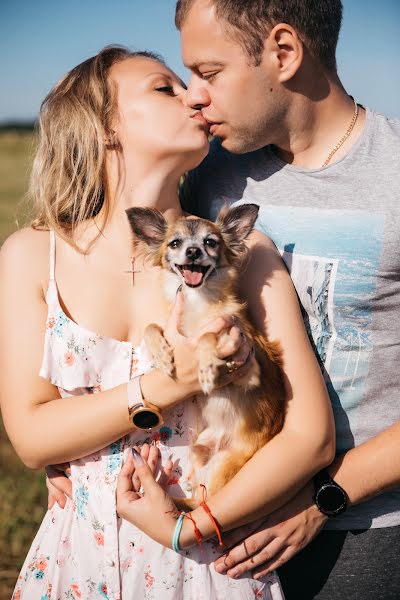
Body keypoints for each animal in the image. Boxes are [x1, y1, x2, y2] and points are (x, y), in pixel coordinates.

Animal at [126, 204, 286, 508]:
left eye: (210, 242)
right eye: (175, 243)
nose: (192, 251)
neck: (197, 302)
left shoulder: (249, 370)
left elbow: (207, 336)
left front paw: (208, 366)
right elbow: (151, 327)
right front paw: (162, 354)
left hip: (224, 465)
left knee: (204, 502)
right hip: (198, 449)